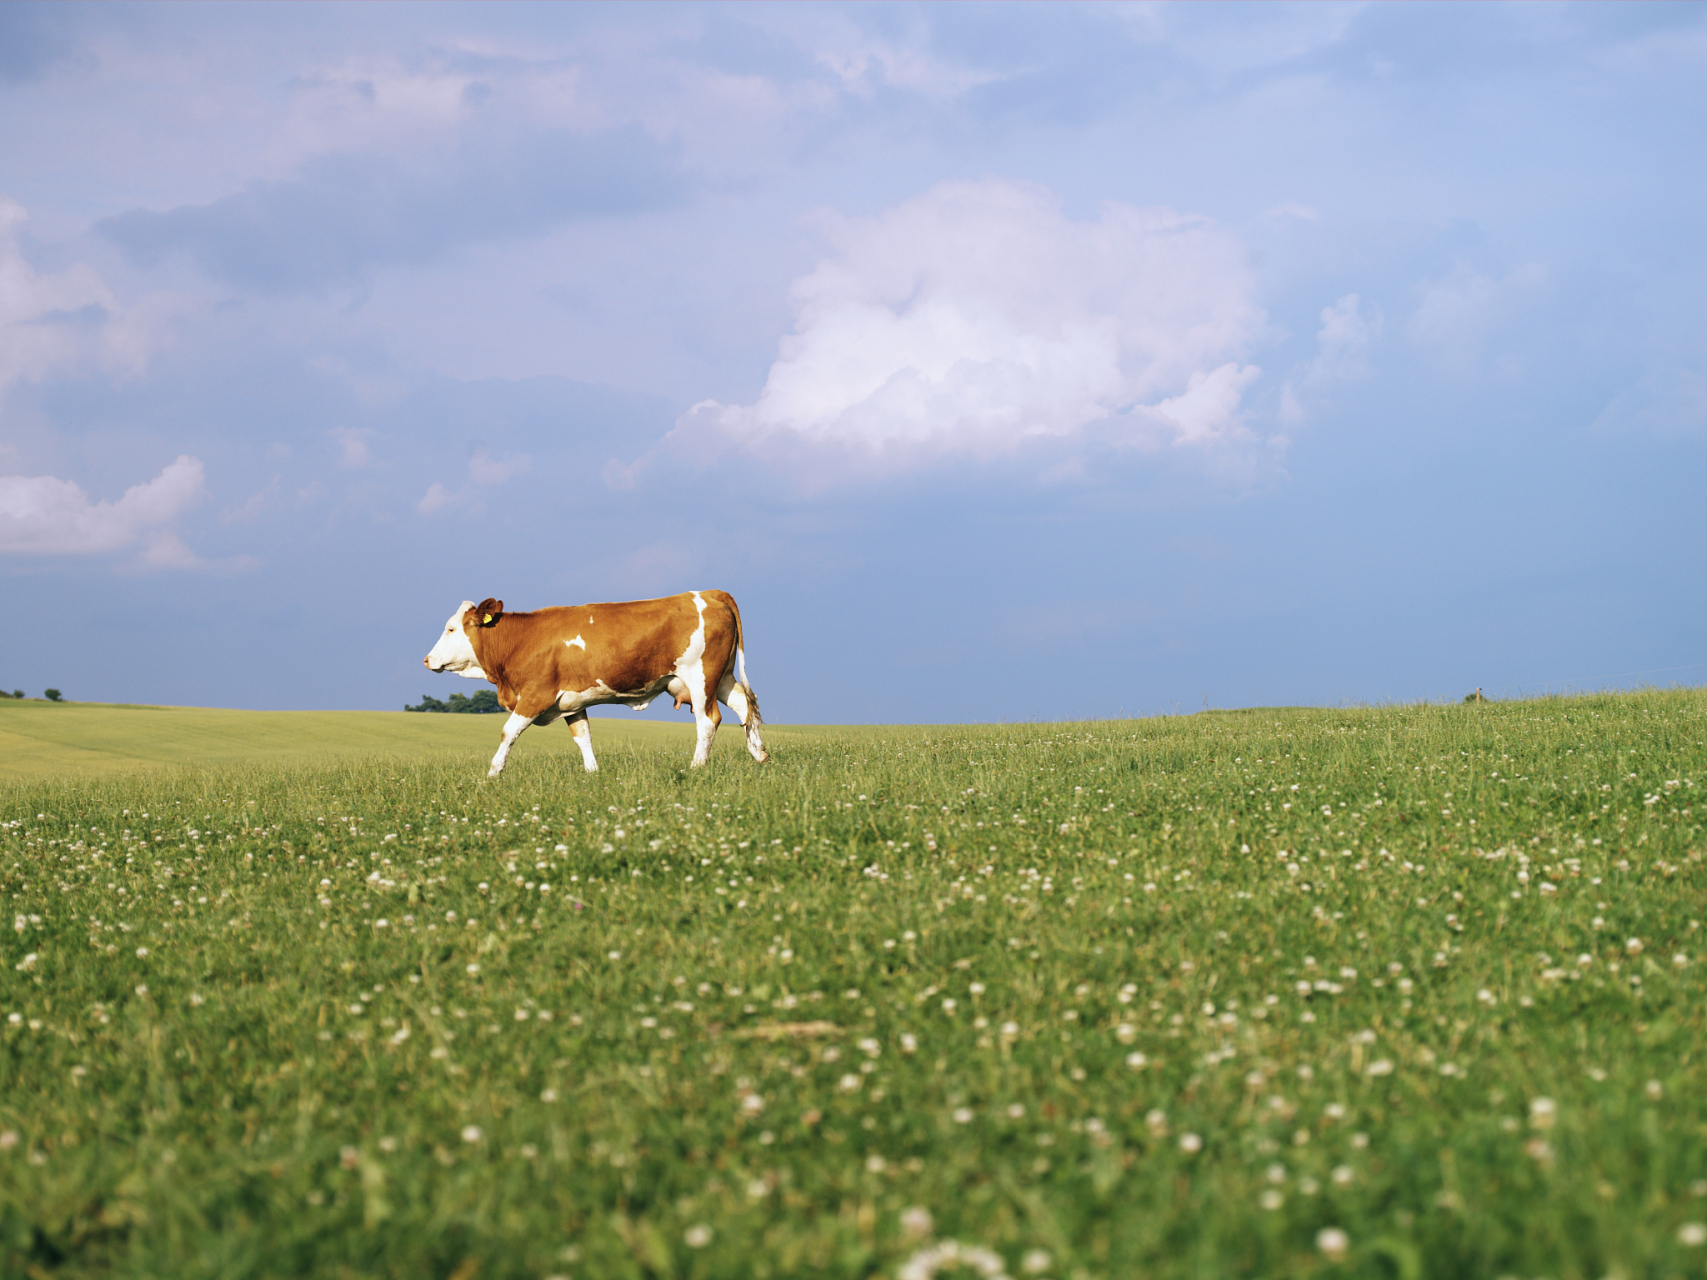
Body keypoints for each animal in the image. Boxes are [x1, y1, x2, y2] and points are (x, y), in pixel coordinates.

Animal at [423, 593, 771, 781]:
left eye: (451, 629)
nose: (427, 659)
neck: (521, 641)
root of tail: (708, 593)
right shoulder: (571, 703)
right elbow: (583, 737)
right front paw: (593, 773)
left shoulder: (536, 695)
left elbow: (508, 732)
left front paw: (493, 774)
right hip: (722, 677)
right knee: (744, 706)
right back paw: (760, 755)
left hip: (700, 676)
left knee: (708, 720)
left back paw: (696, 766)